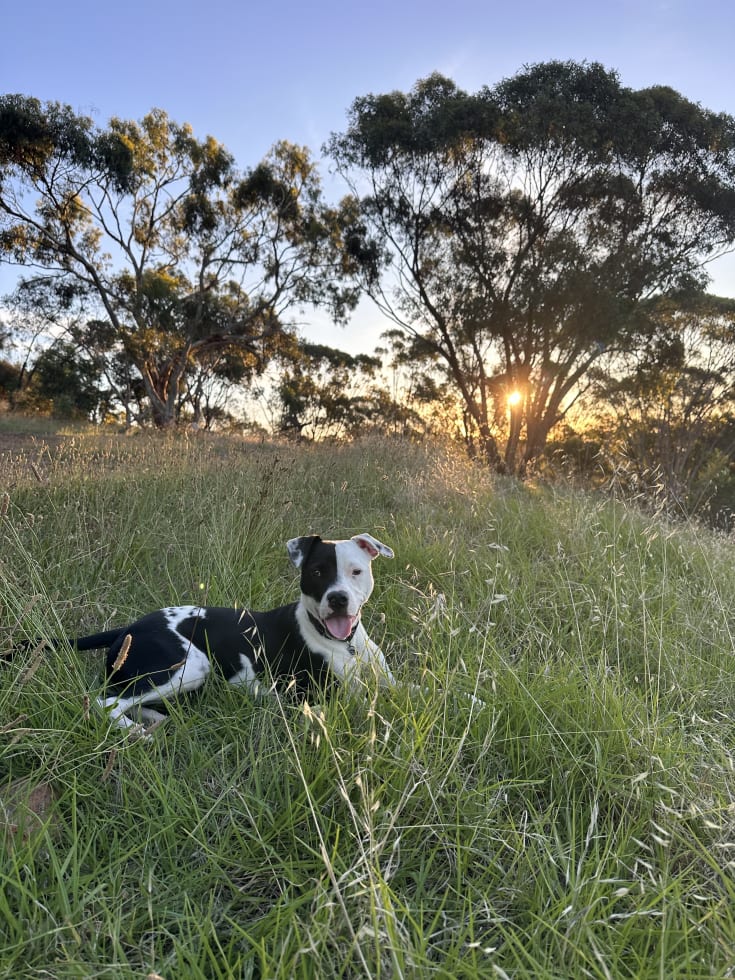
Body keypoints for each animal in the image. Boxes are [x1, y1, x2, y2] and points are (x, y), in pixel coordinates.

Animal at [67, 532, 396, 732]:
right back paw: (135, 731)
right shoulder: (333, 697)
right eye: (316, 572)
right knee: (106, 701)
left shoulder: (391, 684)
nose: (337, 598)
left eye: (356, 571)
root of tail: (129, 628)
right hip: (188, 667)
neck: (346, 645)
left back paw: (156, 720)